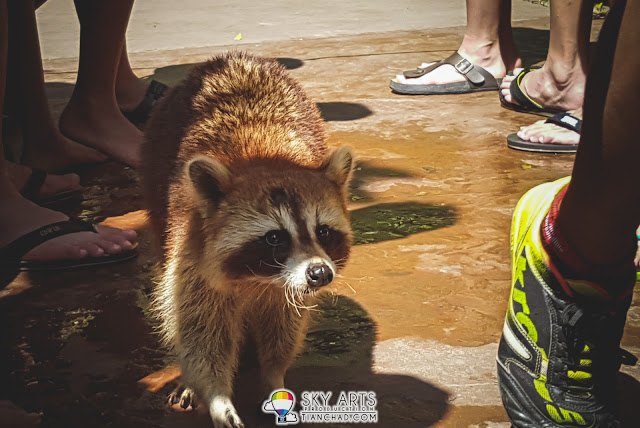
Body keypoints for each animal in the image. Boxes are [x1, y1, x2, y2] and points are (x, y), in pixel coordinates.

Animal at [139, 51, 356, 426]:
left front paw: (273, 375)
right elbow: (199, 330)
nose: (320, 274)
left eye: (323, 231)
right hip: (155, 178)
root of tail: (231, 58)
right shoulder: (192, 250)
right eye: (274, 237)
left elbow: (284, 324)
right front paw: (216, 395)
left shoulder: (287, 288)